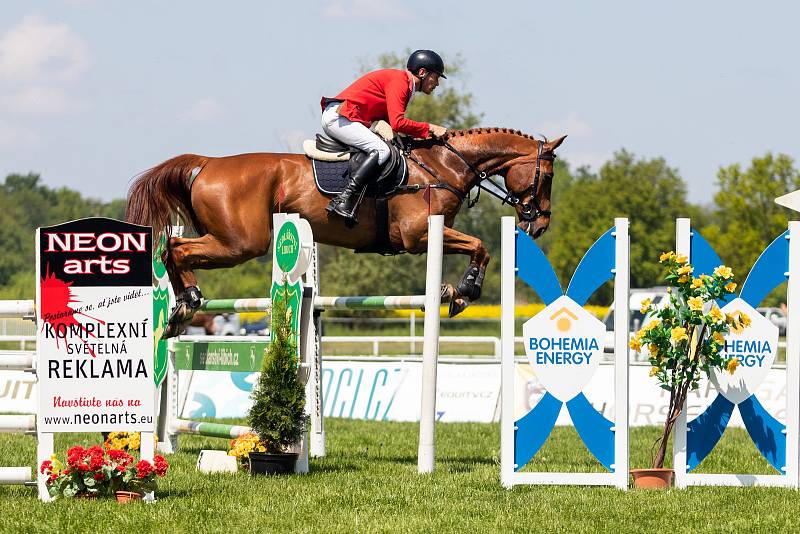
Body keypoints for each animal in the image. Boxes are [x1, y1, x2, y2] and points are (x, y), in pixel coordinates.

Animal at [125, 127, 564, 338]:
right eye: (547, 176)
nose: (540, 223)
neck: (442, 166)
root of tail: (207, 163)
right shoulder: (419, 237)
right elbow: (482, 246)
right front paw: (464, 292)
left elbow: (479, 246)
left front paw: (457, 292)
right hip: (240, 243)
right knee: (177, 247)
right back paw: (188, 303)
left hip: (233, 241)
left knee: (172, 246)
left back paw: (179, 311)